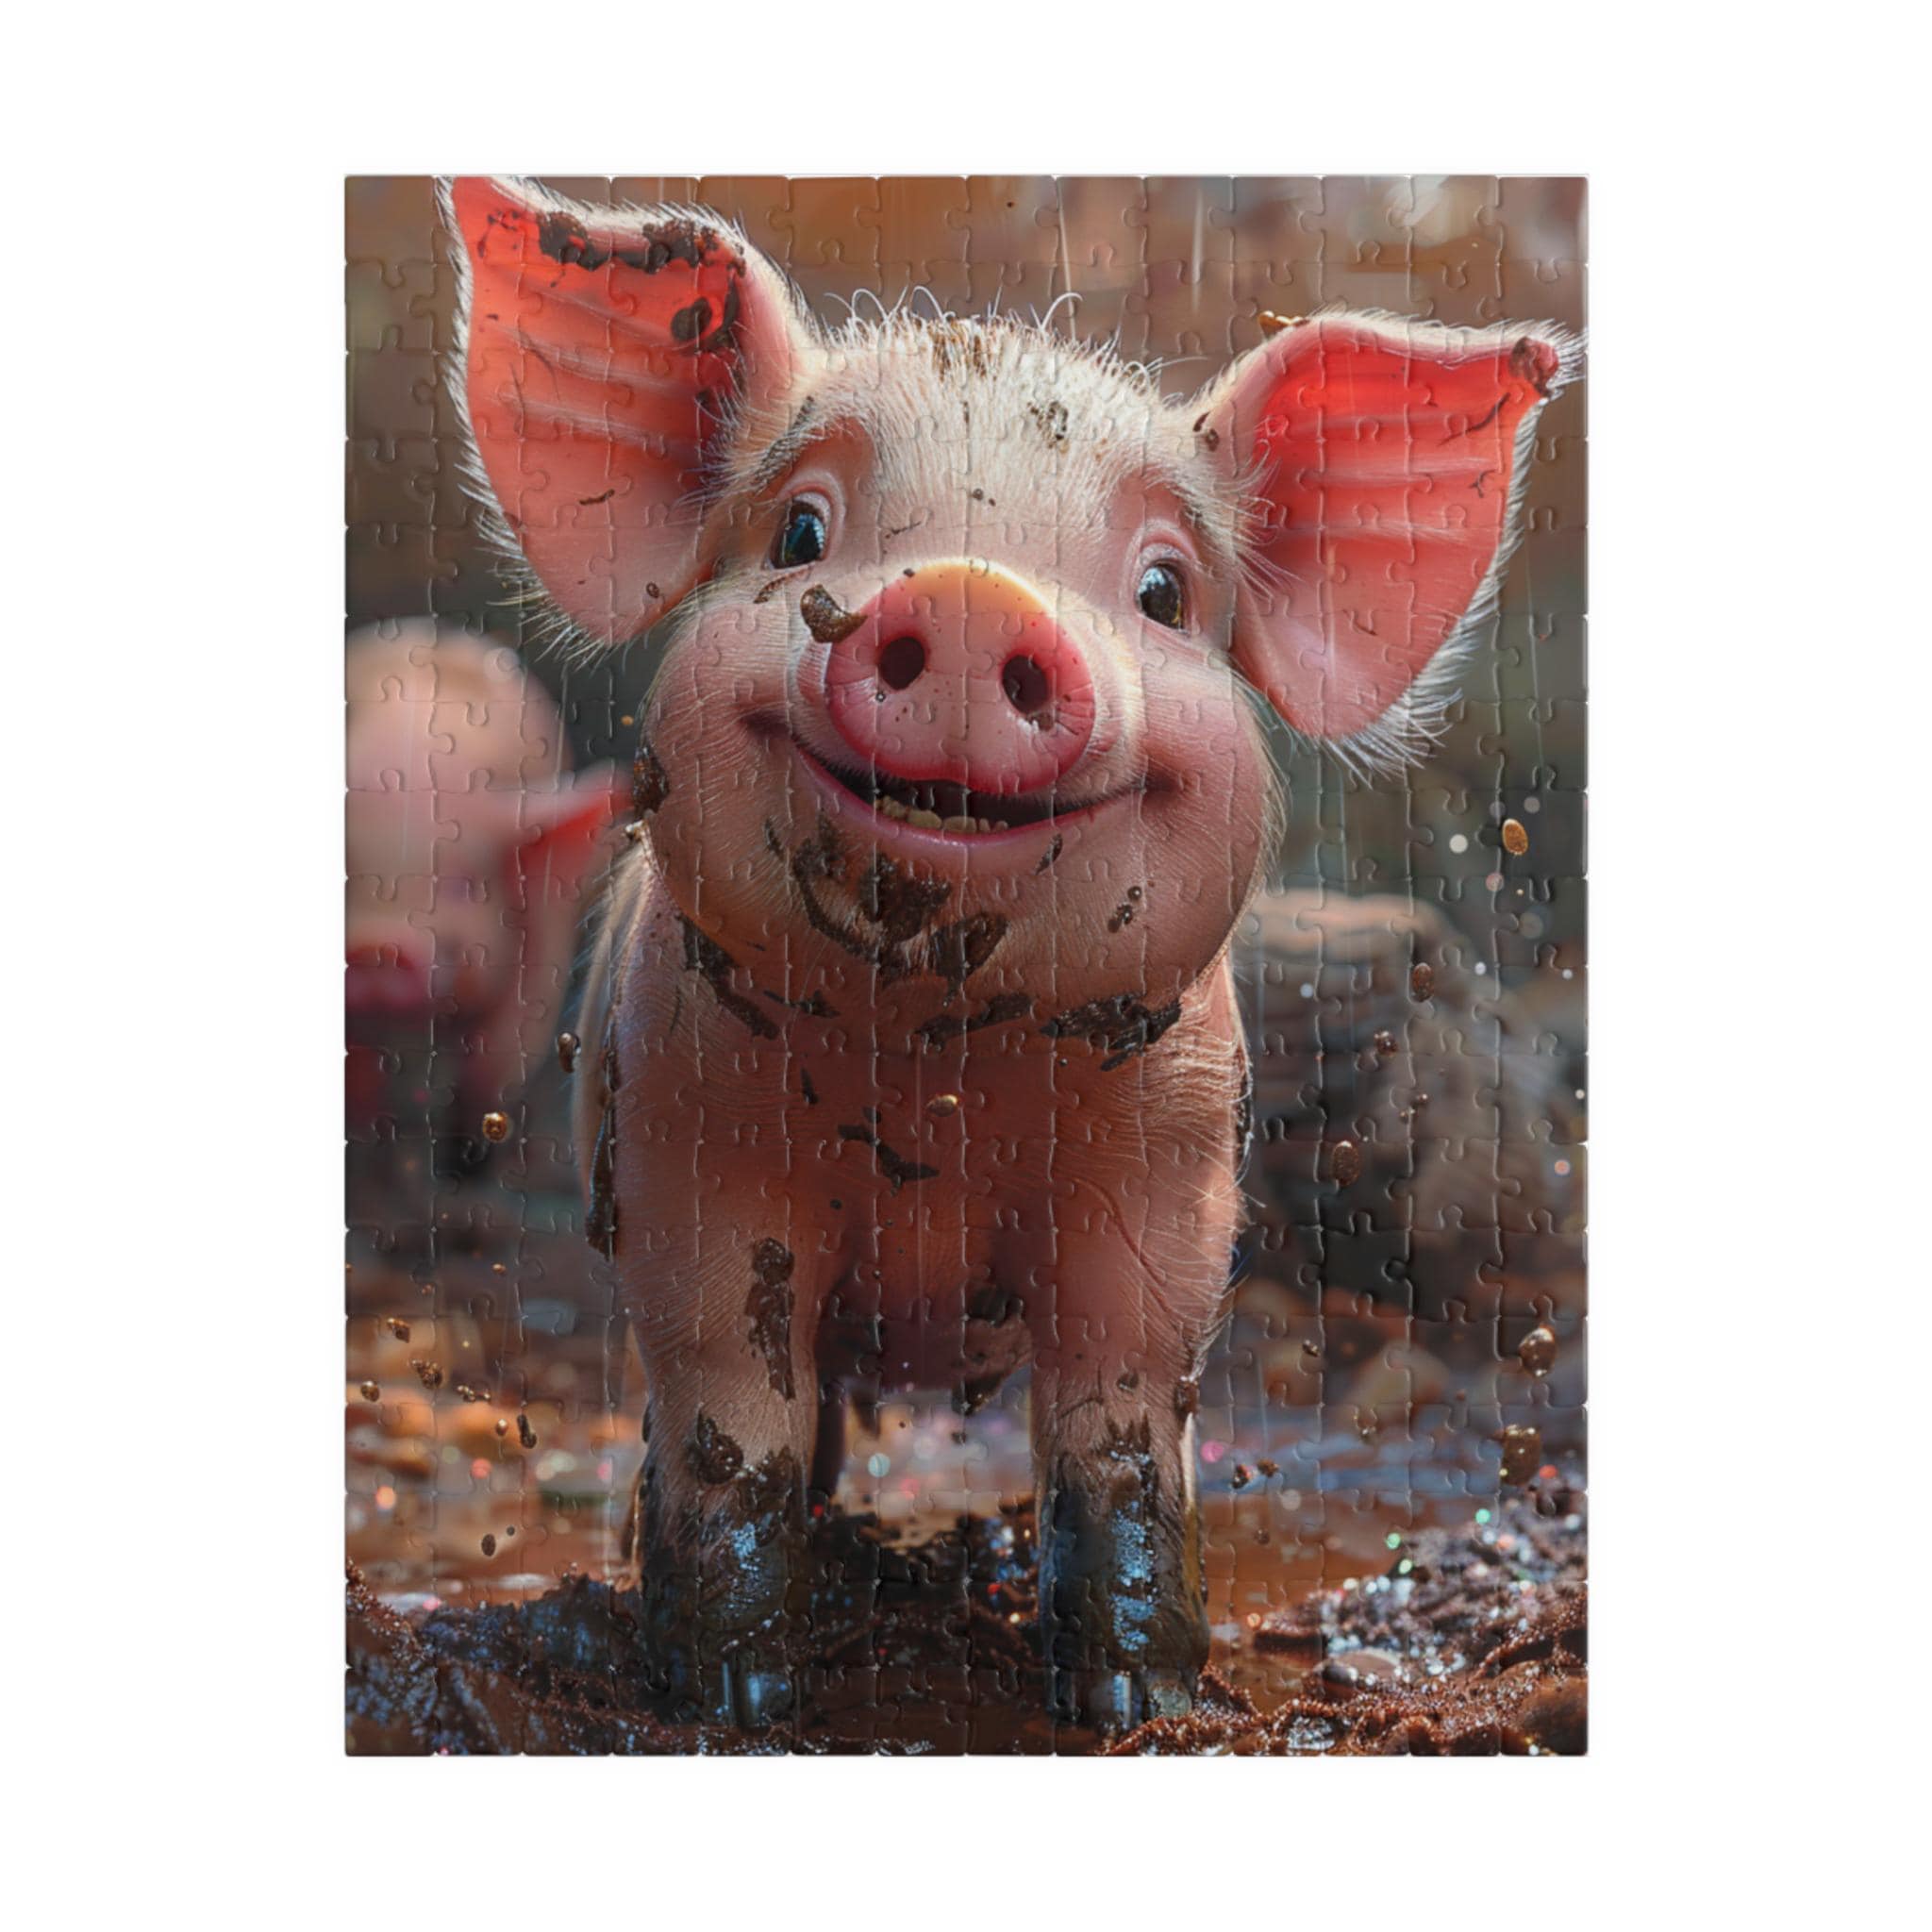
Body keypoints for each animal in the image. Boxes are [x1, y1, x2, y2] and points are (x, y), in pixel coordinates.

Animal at [442, 175, 1579, 1727]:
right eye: (799, 534)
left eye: (1163, 592)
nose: (971, 594)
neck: (935, 1076)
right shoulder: (685, 1139)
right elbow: (729, 1412)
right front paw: (735, 1702)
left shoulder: (1166, 1168)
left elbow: (1118, 1421)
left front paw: (1133, 1705)